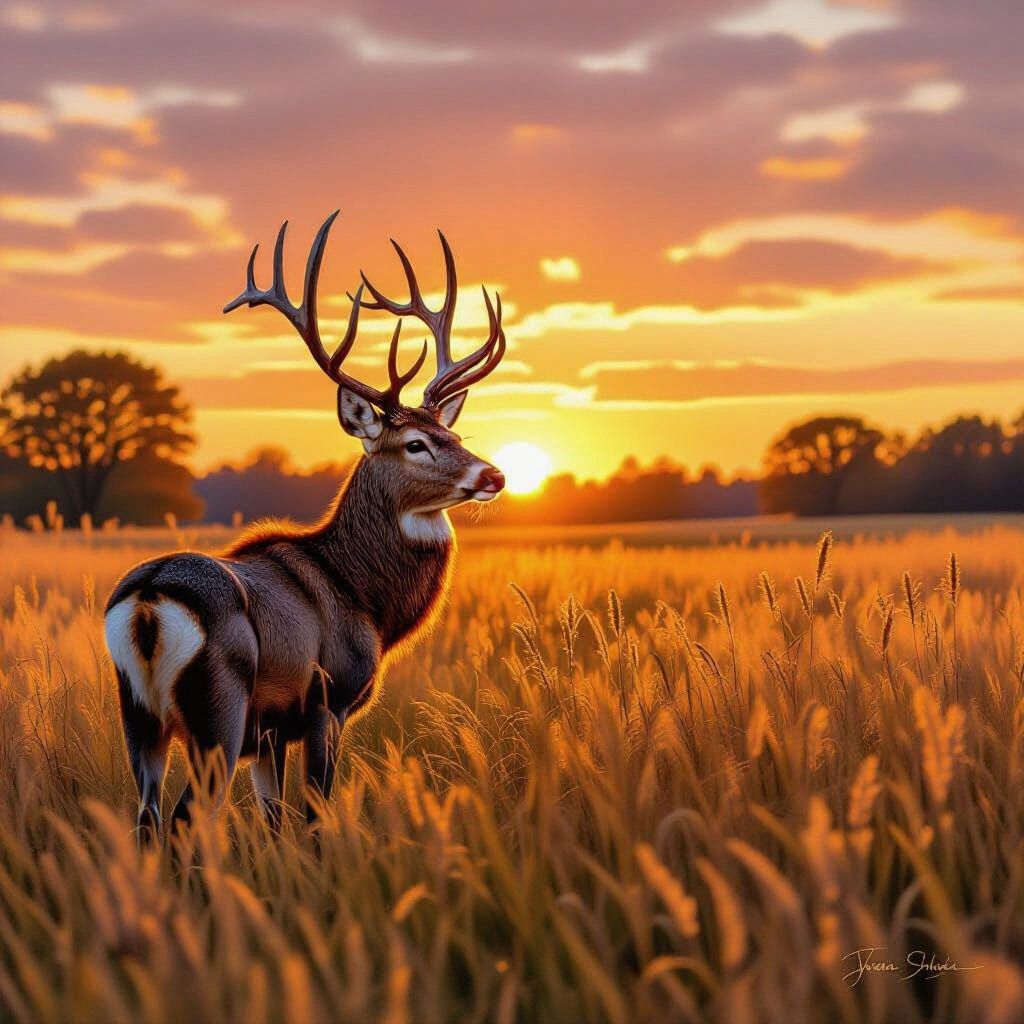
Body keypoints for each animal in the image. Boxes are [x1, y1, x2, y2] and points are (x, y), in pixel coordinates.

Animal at [104, 211, 506, 843]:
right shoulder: (325, 698)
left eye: (455, 434)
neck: (365, 598)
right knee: (186, 816)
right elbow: (315, 814)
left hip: (138, 713)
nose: (493, 474)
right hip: (218, 707)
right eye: (415, 443)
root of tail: (148, 599)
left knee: (146, 817)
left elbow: (275, 823)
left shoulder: (269, 733)